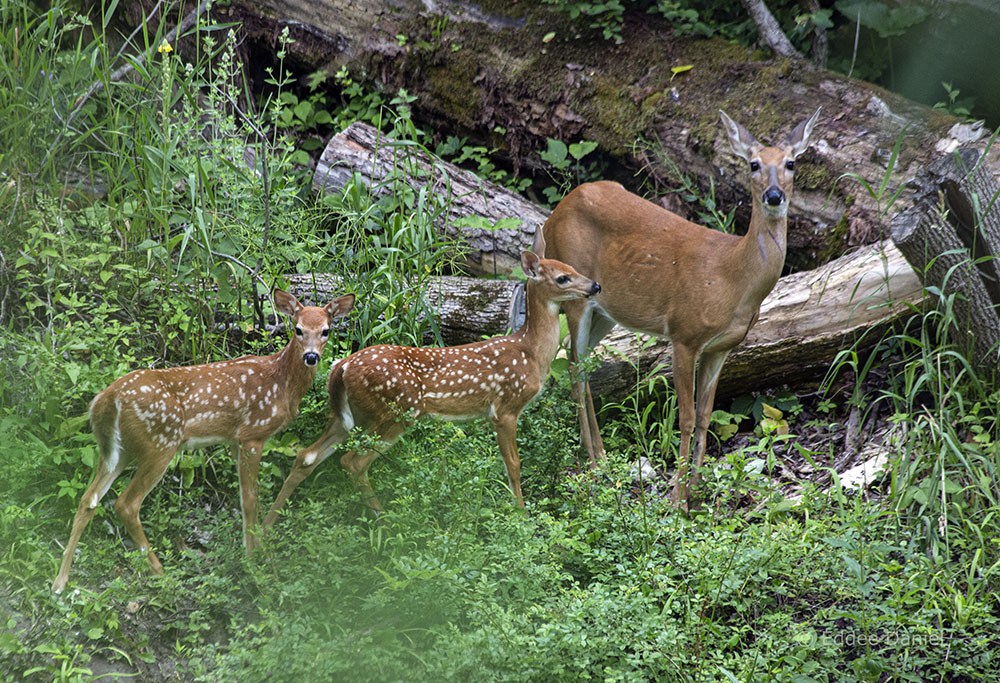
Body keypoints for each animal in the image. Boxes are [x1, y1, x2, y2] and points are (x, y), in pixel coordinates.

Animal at [53, 288, 356, 592]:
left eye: (326, 330)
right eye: (298, 329)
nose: (311, 357)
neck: (281, 383)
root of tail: (106, 399)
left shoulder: (233, 440)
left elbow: (244, 497)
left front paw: (253, 550)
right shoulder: (253, 434)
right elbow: (250, 499)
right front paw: (253, 561)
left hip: (117, 449)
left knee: (89, 498)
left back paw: (60, 581)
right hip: (160, 442)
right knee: (125, 504)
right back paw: (160, 571)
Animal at [262, 238, 596, 520]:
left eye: (573, 268)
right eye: (562, 278)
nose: (595, 285)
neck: (531, 353)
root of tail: (340, 368)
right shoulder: (505, 408)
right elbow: (513, 466)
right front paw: (521, 516)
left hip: (350, 416)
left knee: (306, 455)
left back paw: (264, 531)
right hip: (397, 410)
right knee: (353, 461)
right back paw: (384, 519)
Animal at [548, 109, 820, 510]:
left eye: (791, 162)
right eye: (753, 164)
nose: (774, 196)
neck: (732, 278)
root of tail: (555, 212)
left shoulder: (722, 347)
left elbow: (706, 416)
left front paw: (697, 490)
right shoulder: (683, 334)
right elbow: (687, 418)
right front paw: (677, 498)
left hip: (604, 309)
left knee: (574, 359)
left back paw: (600, 457)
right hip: (574, 288)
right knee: (574, 368)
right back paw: (595, 464)